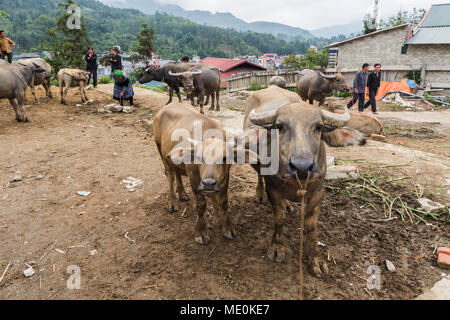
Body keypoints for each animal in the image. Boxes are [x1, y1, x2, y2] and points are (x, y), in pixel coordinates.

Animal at [154, 104, 253, 244]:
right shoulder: (194, 180)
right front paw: (201, 232)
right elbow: (200, 206)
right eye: (199, 157)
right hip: (160, 150)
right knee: (170, 175)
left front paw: (226, 226)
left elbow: (223, 203)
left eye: (225, 158)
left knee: (177, 173)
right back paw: (172, 202)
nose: (209, 183)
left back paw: (183, 194)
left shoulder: (225, 178)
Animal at [243, 85, 366, 276]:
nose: (301, 166)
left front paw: (315, 260)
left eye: (319, 126)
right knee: (258, 175)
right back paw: (259, 194)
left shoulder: (318, 191)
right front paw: (277, 248)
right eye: (279, 126)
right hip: (254, 160)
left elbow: (311, 226)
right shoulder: (273, 188)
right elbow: (279, 217)